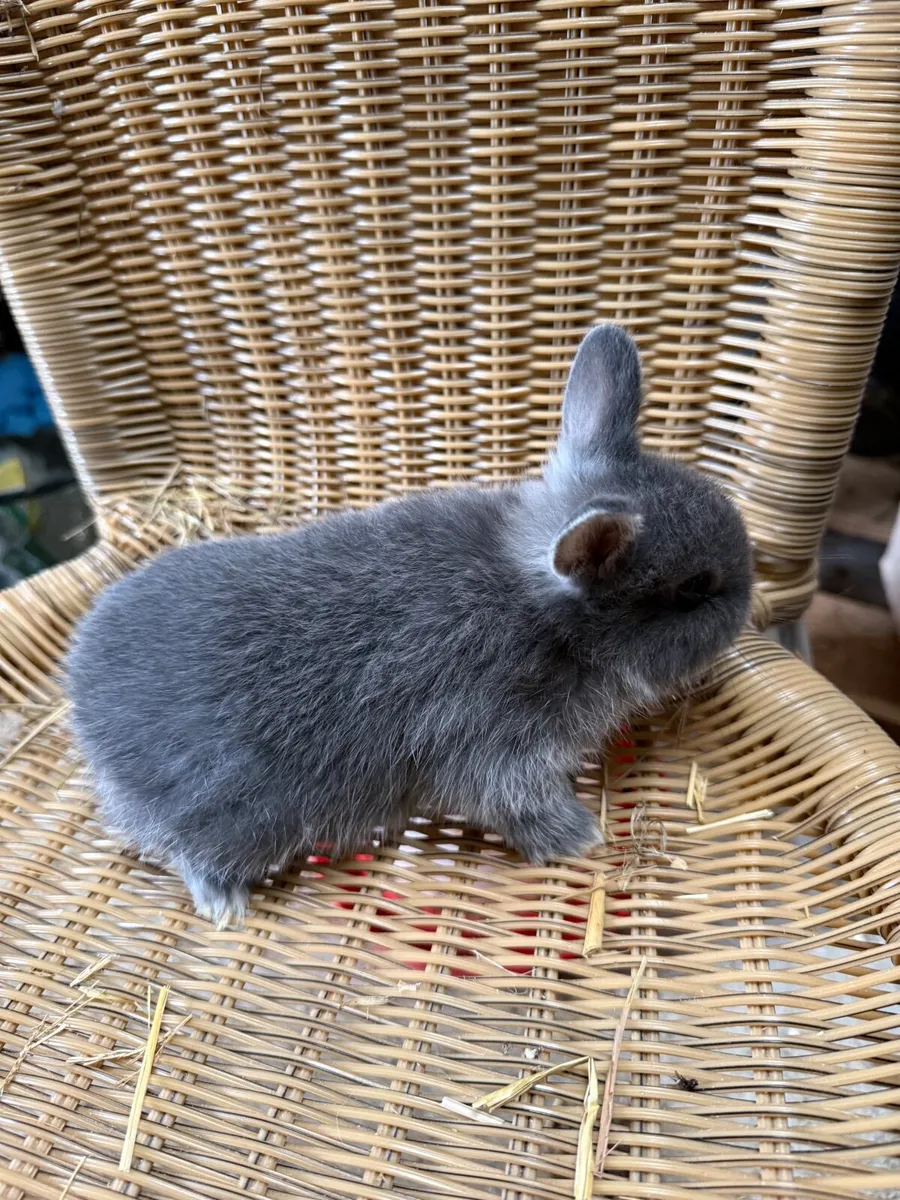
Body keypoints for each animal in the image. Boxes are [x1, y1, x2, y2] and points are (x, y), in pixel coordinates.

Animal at [67, 324, 753, 927]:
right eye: (694, 588)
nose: (751, 600)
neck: (542, 612)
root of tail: (79, 698)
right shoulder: (490, 741)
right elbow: (517, 803)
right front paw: (584, 838)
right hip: (236, 816)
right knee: (192, 854)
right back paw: (224, 906)